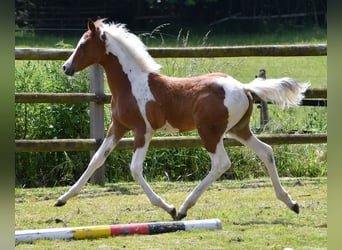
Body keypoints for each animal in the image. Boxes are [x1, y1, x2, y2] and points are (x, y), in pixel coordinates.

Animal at [57, 18, 308, 220]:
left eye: (83, 45)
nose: (66, 67)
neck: (131, 84)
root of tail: (244, 87)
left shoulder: (143, 131)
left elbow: (135, 169)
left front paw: (168, 207)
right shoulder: (118, 127)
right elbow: (96, 159)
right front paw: (62, 198)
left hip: (209, 132)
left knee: (221, 163)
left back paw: (184, 208)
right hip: (239, 130)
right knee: (266, 151)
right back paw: (291, 203)